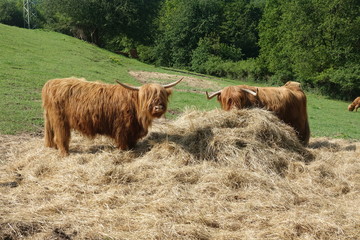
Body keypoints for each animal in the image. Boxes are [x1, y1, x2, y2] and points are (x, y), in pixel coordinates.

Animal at [42, 76, 183, 157]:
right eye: (146, 96)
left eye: (162, 95)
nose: (158, 107)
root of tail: (51, 82)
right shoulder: (122, 128)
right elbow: (122, 142)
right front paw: (124, 151)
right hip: (60, 120)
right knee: (61, 137)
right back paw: (65, 154)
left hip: (51, 119)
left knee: (51, 134)